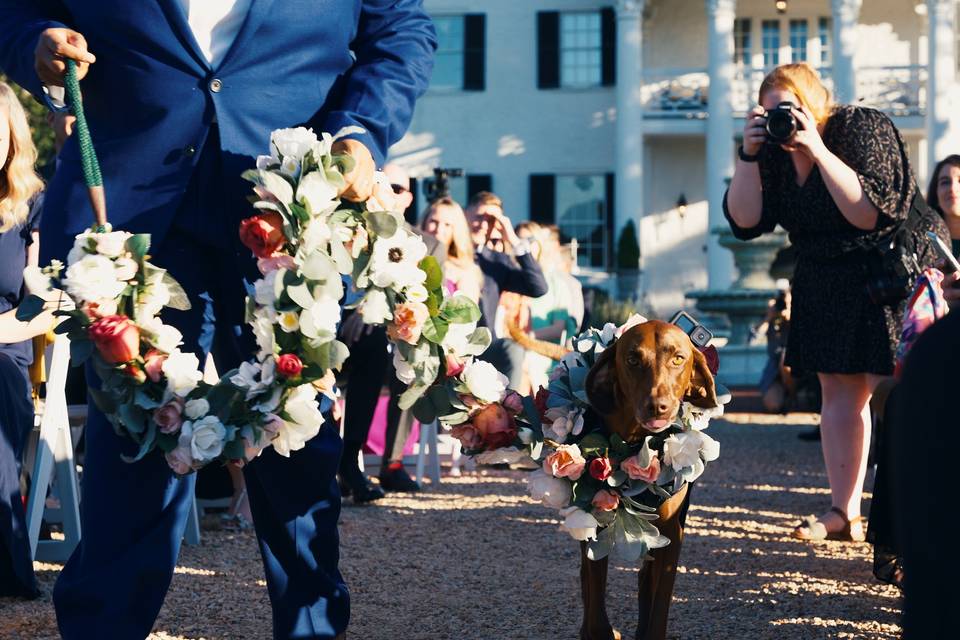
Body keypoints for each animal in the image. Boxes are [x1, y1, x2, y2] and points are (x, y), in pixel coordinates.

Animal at [572, 322, 716, 640]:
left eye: (678, 358)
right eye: (632, 360)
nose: (657, 406)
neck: (636, 443)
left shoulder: (672, 535)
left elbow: (658, 603)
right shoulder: (594, 525)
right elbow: (594, 597)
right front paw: (599, 631)